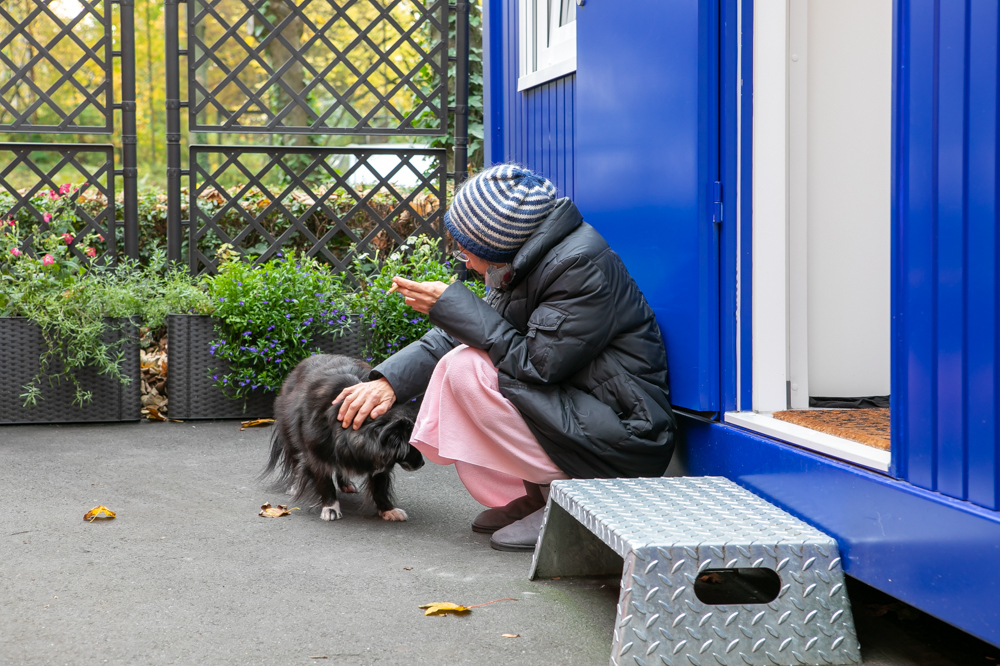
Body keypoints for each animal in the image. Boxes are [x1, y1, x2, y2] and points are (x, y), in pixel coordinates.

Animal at [262, 352, 422, 520]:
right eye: (414, 445)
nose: (422, 463)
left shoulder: (379, 461)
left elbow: (380, 486)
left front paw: (388, 509)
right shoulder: (316, 454)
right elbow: (325, 482)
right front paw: (330, 507)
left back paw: (345, 483)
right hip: (291, 436)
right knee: (295, 461)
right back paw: (295, 485)